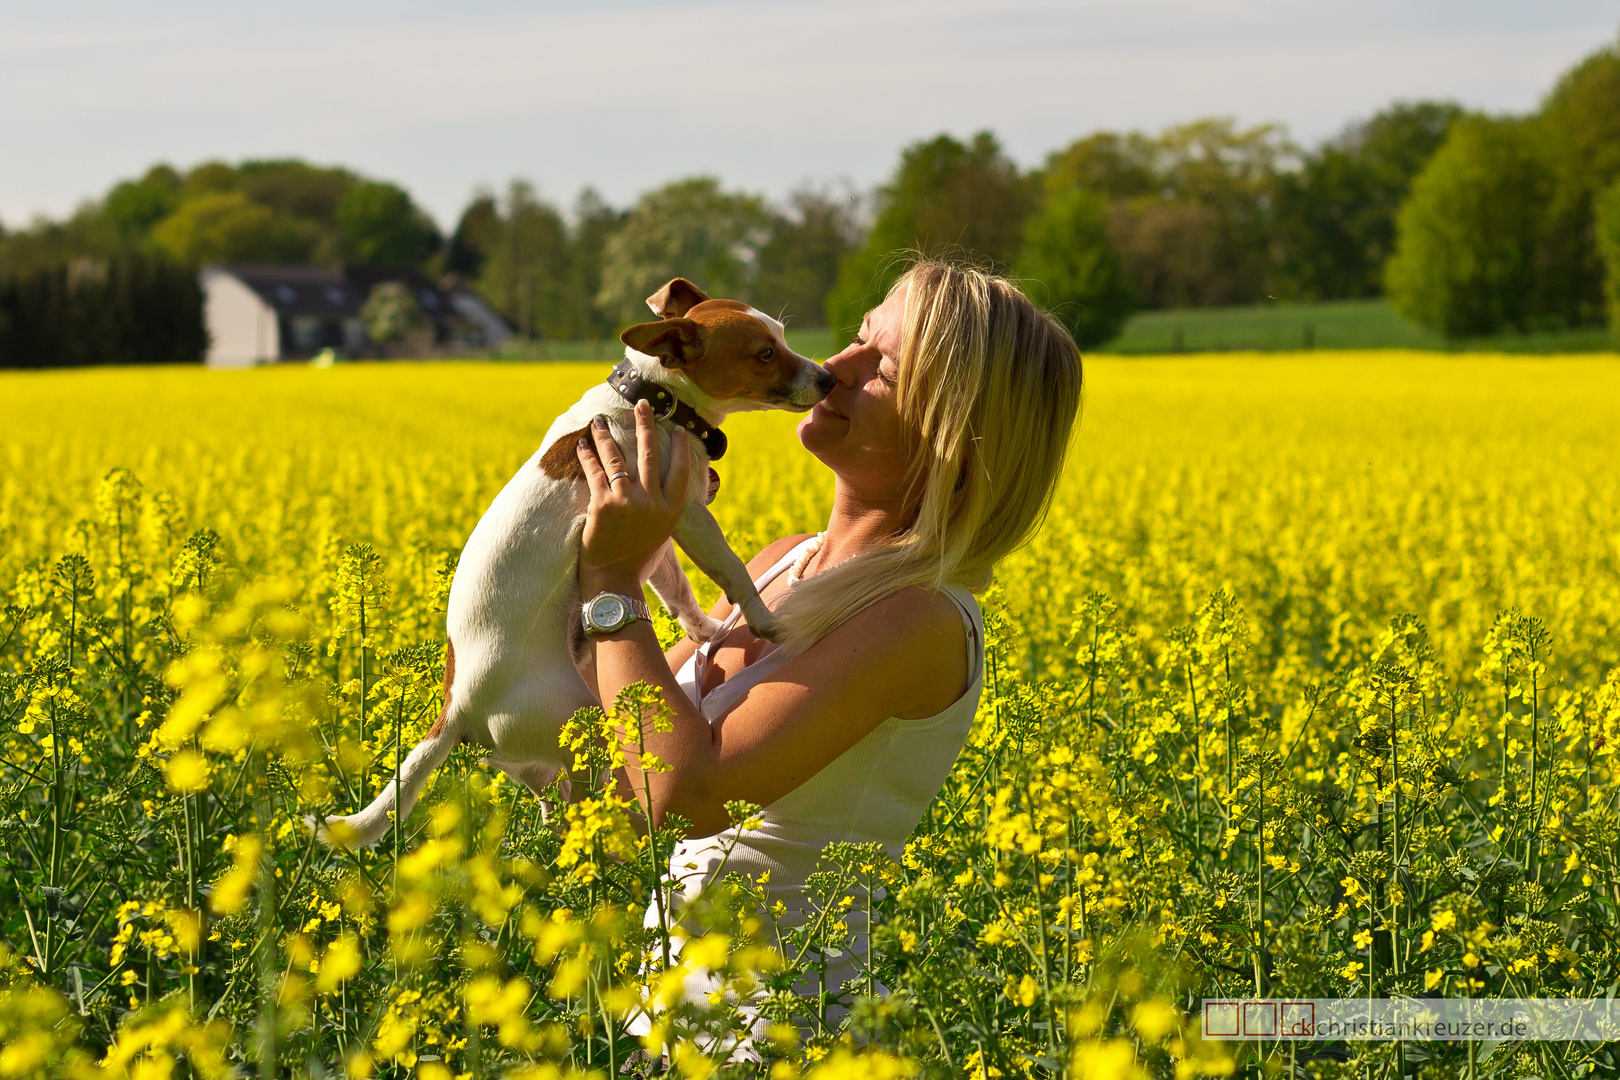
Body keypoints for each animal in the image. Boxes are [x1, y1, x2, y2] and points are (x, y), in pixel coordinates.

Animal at [312, 276, 835, 841]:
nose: (829, 378)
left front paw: (710, 632)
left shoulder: (660, 536)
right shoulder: (689, 516)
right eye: (765, 354)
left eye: (782, 336)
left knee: (553, 802)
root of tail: (457, 704)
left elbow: (678, 595)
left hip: (538, 756)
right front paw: (763, 620)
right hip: (579, 720)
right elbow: (732, 570)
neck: (656, 398)